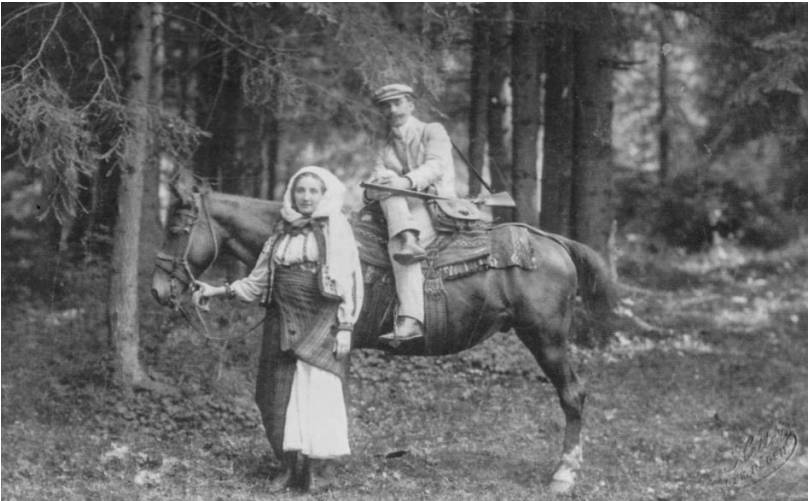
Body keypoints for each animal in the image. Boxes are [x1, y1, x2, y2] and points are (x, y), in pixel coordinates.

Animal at [151, 175, 616, 492]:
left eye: (176, 229)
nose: (158, 288)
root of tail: (552, 240)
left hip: (546, 339)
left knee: (573, 395)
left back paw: (563, 474)